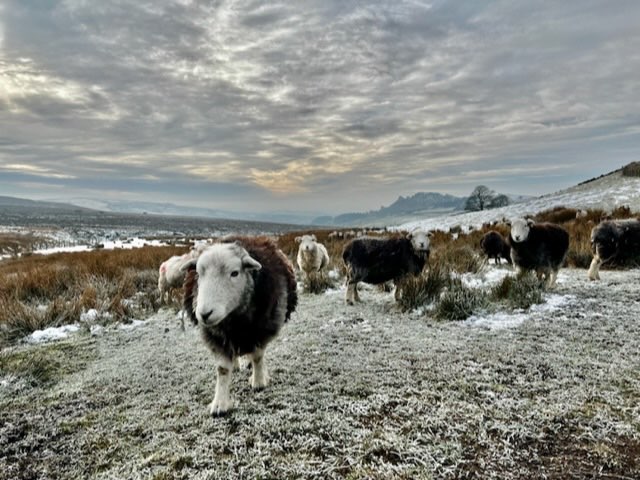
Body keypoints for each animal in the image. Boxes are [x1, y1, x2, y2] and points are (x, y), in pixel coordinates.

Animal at [182, 236, 297, 416]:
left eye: (234, 273)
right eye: (199, 274)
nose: (204, 314)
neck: (234, 319)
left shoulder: (262, 329)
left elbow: (258, 357)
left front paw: (259, 381)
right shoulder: (215, 336)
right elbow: (222, 369)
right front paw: (220, 403)